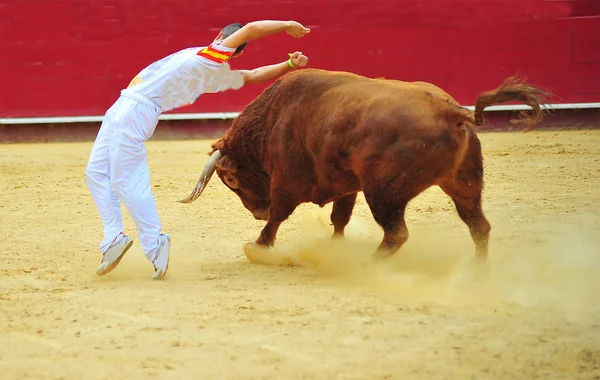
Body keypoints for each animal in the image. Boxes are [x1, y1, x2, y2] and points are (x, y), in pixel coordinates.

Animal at [179, 68, 552, 262]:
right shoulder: (346, 186)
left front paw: (258, 244)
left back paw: (372, 264)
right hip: (464, 184)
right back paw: (477, 271)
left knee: (397, 232)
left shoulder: (286, 181)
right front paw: (335, 245)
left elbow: (279, 216)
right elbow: (339, 217)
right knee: (479, 226)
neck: (273, 118)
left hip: (385, 192)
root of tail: (451, 110)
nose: (256, 212)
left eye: (233, 181)